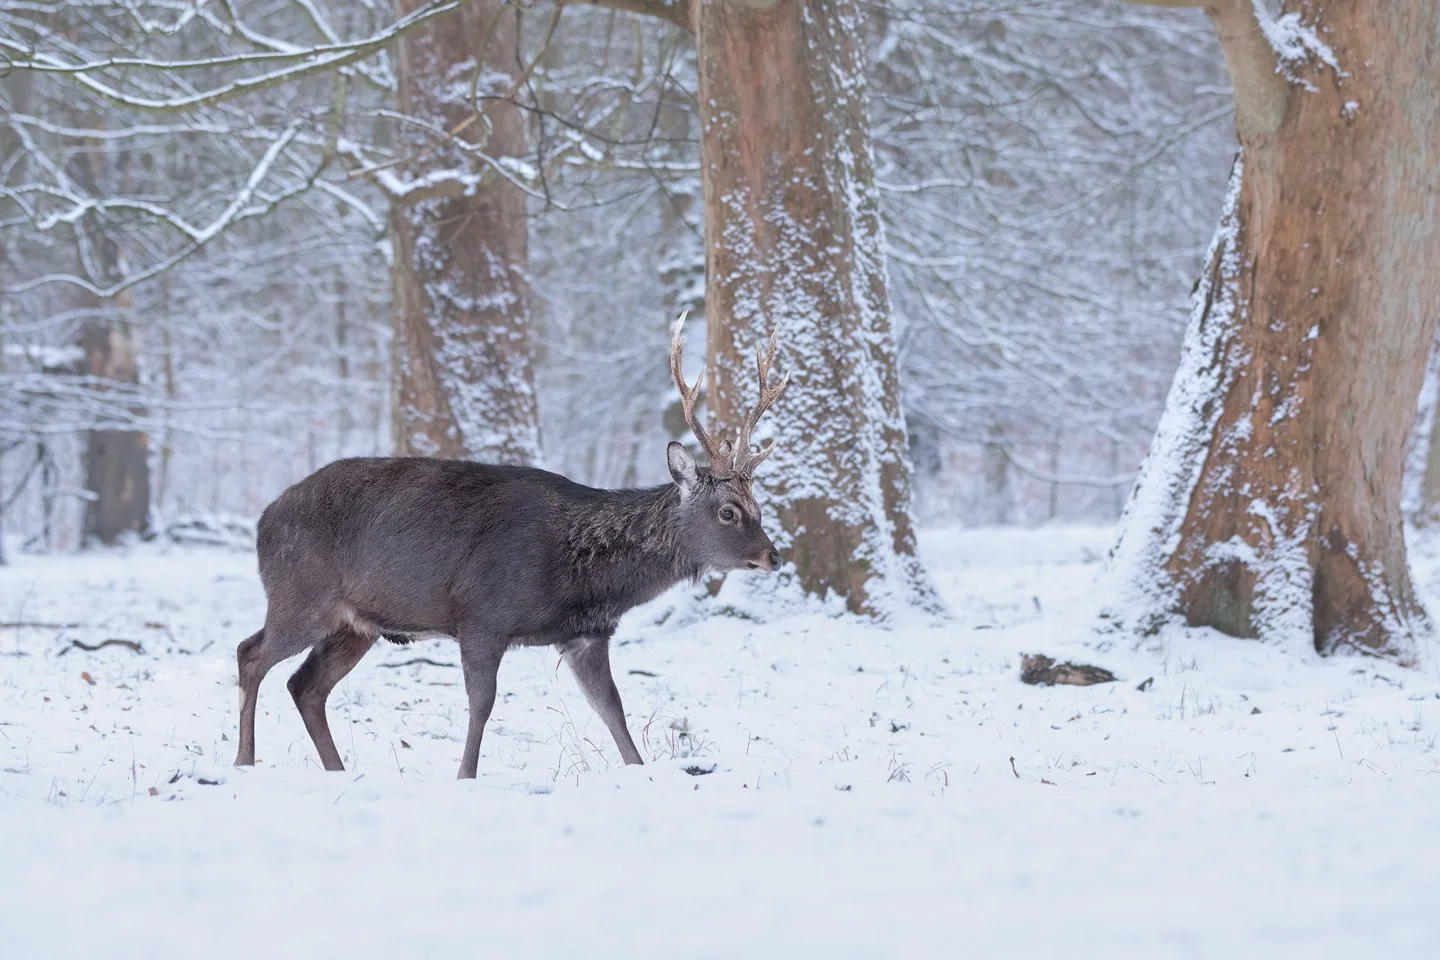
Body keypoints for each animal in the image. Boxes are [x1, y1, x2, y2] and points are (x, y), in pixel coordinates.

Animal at [234, 316, 790, 778]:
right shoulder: (482, 615)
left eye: (758, 505)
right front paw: (465, 777)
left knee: (305, 686)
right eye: (728, 511)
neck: (583, 579)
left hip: (356, 624)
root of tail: (262, 521)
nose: (773, 555)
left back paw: (336, 770)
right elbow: (482, 703)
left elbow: (612, 709)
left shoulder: (587, 634)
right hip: (301, 594)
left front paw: (639, 773)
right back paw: (243, 761)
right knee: (250, 653)